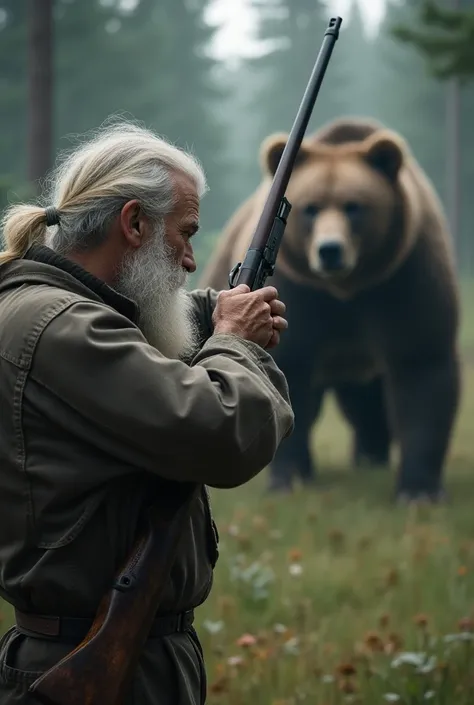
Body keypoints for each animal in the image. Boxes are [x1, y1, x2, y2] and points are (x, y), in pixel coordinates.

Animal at [198, 117, 462, 500]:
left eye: (354, 206)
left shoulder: (404, 276)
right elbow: (290, 369)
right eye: (312, 208)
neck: (345, 289)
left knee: (368, 400)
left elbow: (421, 364)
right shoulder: (303, 291)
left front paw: (417, 490)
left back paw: (371, 457)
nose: (330, 250)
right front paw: (289, 477)